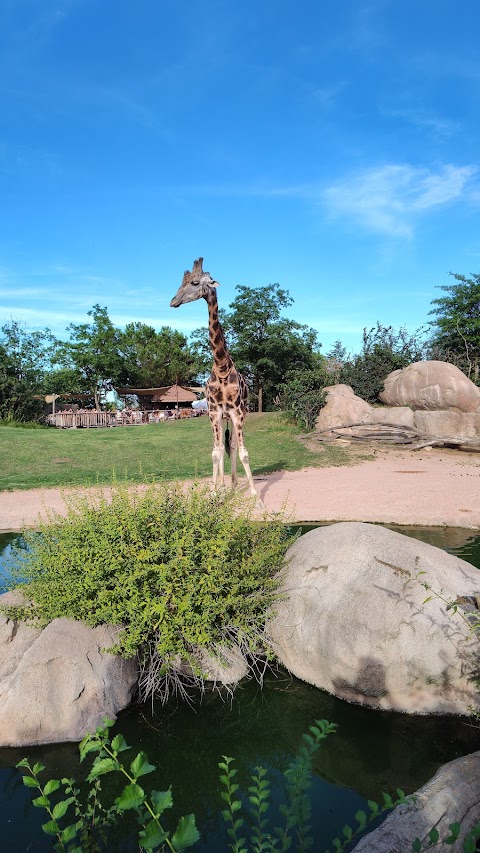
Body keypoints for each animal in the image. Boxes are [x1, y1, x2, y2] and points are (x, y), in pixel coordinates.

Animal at [171, 258, 260, 500]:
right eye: (181, 282)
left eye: (195, 282)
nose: (173, 301)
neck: (221, 367)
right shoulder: (213, 412)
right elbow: (215, 452)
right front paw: (213, 492)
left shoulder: (237, 412)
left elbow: (243, 452)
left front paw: (257, 497)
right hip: (220, 417)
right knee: (221, 447)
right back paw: (223, 485)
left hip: (237, 415)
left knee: (232, 447)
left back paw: (233, 484)